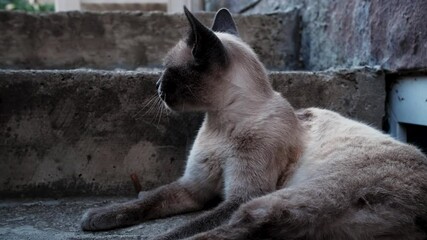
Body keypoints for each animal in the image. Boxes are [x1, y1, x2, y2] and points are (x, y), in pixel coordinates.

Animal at [81, 6, 427, 239]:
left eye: (168, 72)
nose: (156, 87)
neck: (220, 123)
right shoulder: (194, 187)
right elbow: (150, 199)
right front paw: (96, 217)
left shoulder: (239, 197)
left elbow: (186, 227)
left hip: (275, 199)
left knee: (238, 228)